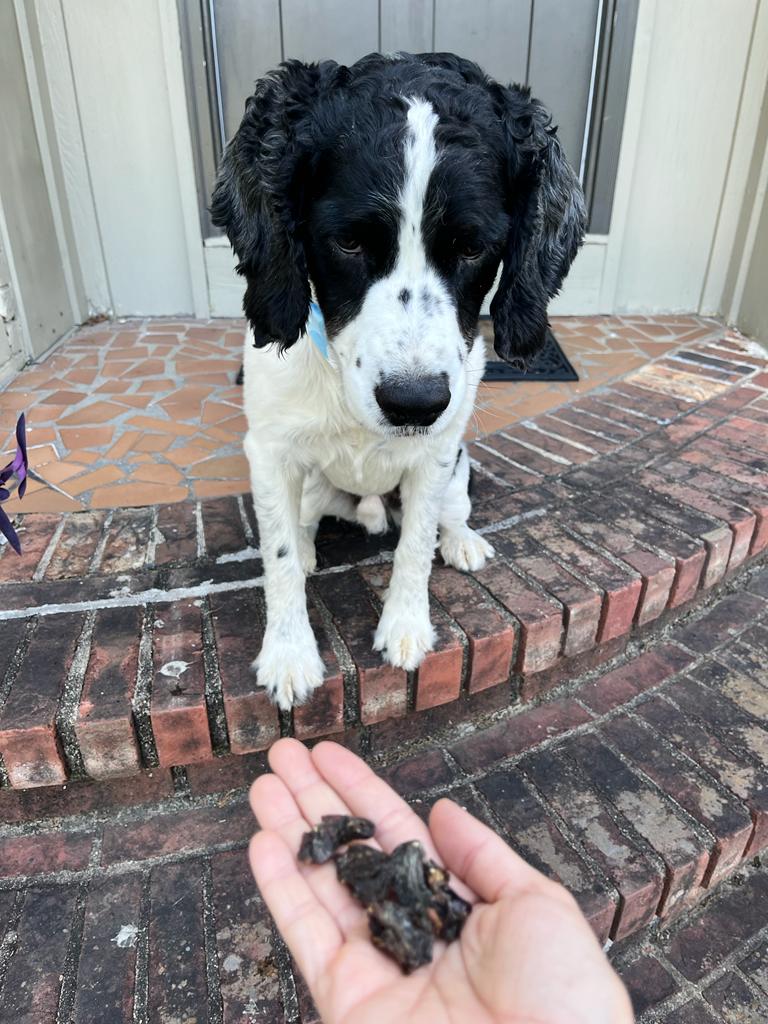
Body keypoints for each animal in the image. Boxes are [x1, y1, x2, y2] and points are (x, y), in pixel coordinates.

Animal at [211, 51, 589, 708]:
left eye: (473, 248)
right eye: (347, 241)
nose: (414, 403)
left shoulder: (437, 454)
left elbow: (415, 544)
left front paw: (406, 625)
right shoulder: (271, 451)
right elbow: (277, 554)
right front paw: (288, 652)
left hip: (460, 469)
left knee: (448, 514)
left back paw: (461, 539)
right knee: (303, 521)